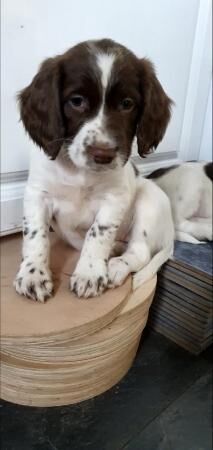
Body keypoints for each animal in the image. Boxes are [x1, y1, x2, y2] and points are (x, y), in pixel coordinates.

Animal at [14, 37, 175, 300]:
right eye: (76, 101)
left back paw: (116, 267)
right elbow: (36, 234)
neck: (78, 171)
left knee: (140, 251)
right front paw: (32, 273)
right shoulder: (37, 194)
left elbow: (98, 233)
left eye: (127, 104)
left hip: (149, 200)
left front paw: (89, 273)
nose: (103, 154)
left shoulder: (114, 198)